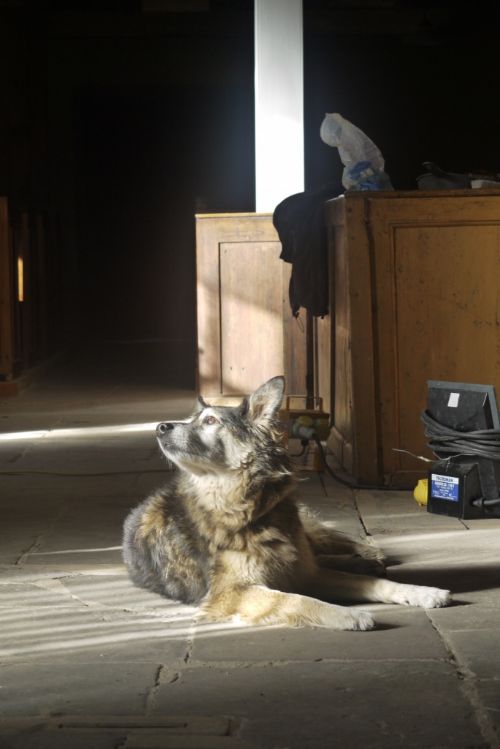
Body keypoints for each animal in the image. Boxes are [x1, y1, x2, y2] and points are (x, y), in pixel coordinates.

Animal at [123, 376, 452, 628]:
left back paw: (367, 555)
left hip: (305, 538)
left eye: (210, 421)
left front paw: (422, 592)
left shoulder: (304, 573)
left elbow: (374, 585)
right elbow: (295, 599)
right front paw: (348, 614)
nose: (160, 427)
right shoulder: (232, 594)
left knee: (324, 546)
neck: (252, 508)